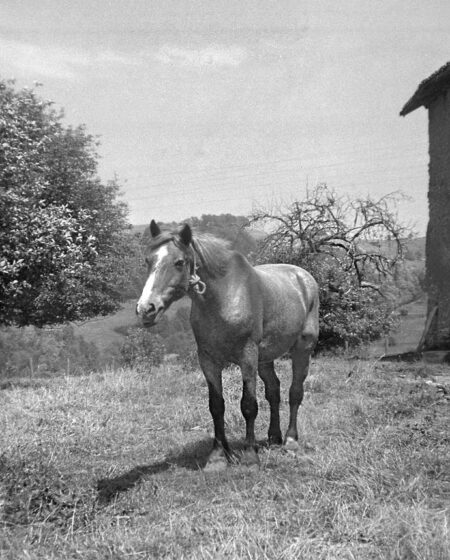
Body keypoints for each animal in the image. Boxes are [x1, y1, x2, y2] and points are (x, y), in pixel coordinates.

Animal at [136, 221, 320, 470]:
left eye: (179, 262)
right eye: (148, 260)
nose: (146, 309)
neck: (224, 297)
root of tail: (303, 277)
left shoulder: (247, 357)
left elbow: (249, 405)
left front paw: (250, 455)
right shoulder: (208, 360)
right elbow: (216, 405)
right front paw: (218, 455)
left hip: (302, 349)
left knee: (295, 392)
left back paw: (291, 441)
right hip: (266, 359)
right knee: (274, 391)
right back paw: (274, 437)